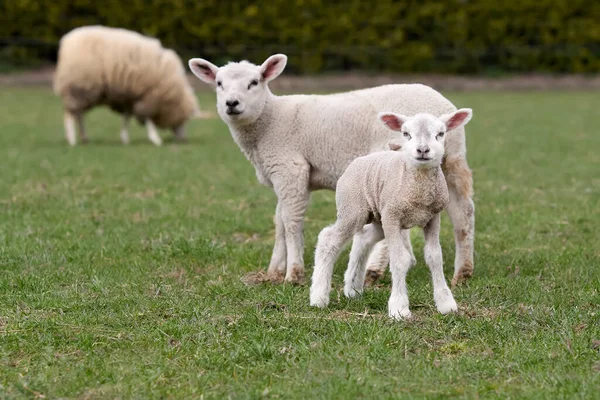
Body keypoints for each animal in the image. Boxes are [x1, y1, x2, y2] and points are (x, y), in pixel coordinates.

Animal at [54, 25, 199, 146]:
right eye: (184, 120)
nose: (184, 139)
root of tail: (66, 41)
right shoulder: (149, 96)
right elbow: (148, 119)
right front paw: (155, 139)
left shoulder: (131, 97)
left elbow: (127, 118)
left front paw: (125, 138)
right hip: (77, 88)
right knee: (70, 115)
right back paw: (72, 140)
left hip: (83, 92)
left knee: (79, 115)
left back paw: (84, 138)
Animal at [190, 54, 476, 288]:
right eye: (218, 83)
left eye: (254, 82)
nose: (231, 103)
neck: (269, 122)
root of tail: (442, 109)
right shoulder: (281, 175)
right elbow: (279, 220)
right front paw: (273, 271)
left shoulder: (290, 168)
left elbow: (291, 221)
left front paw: (293, 273)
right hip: (450, 160)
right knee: (463, 211)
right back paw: (462, 273)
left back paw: (374, 270)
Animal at [310, 109, 474, 318]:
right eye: (406, 133)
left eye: (441, 133)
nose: (422, 150)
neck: (418, 188)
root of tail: (358, 160)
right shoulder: (393, 217)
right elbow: (400, 260)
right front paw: (399, 307)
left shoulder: (432, 217)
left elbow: (435, 257)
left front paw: (446, 303)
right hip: (353, 208)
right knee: (328, 239)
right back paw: (319, 297)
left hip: (376, 217)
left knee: (363, 238)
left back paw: (353, 288)